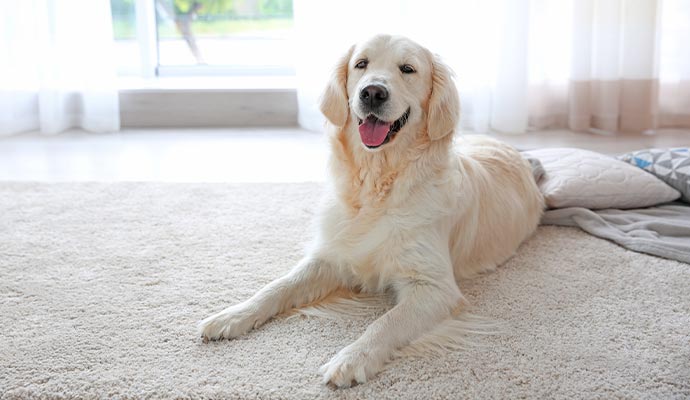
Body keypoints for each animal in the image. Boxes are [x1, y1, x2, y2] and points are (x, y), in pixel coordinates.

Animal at [199, 35, 544, 388]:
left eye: (408, 69)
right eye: (361, 64)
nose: (373, 92)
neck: (376, 185)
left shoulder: (435, 287)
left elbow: (387, 322)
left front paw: (352, 358)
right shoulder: (331, 256)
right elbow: (279, 285)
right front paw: (234, 314)